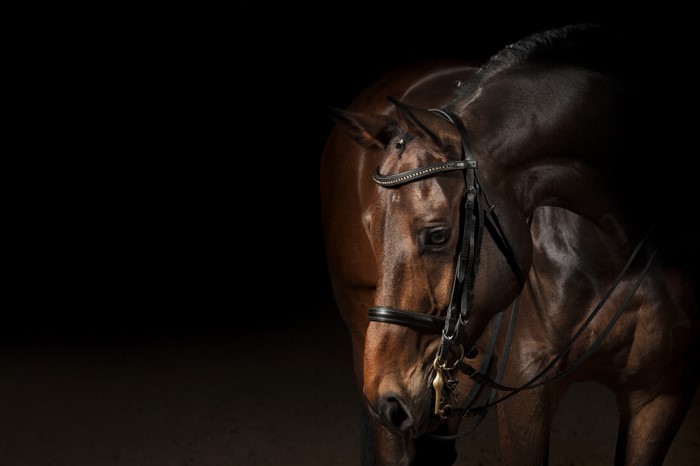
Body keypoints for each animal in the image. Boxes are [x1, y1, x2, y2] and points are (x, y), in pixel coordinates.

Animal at [320, 24, 699, 465]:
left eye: (437, 234)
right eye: (371, 228)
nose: (388, 397)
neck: (619, 245)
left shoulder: (662, 394)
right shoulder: (525, 388)